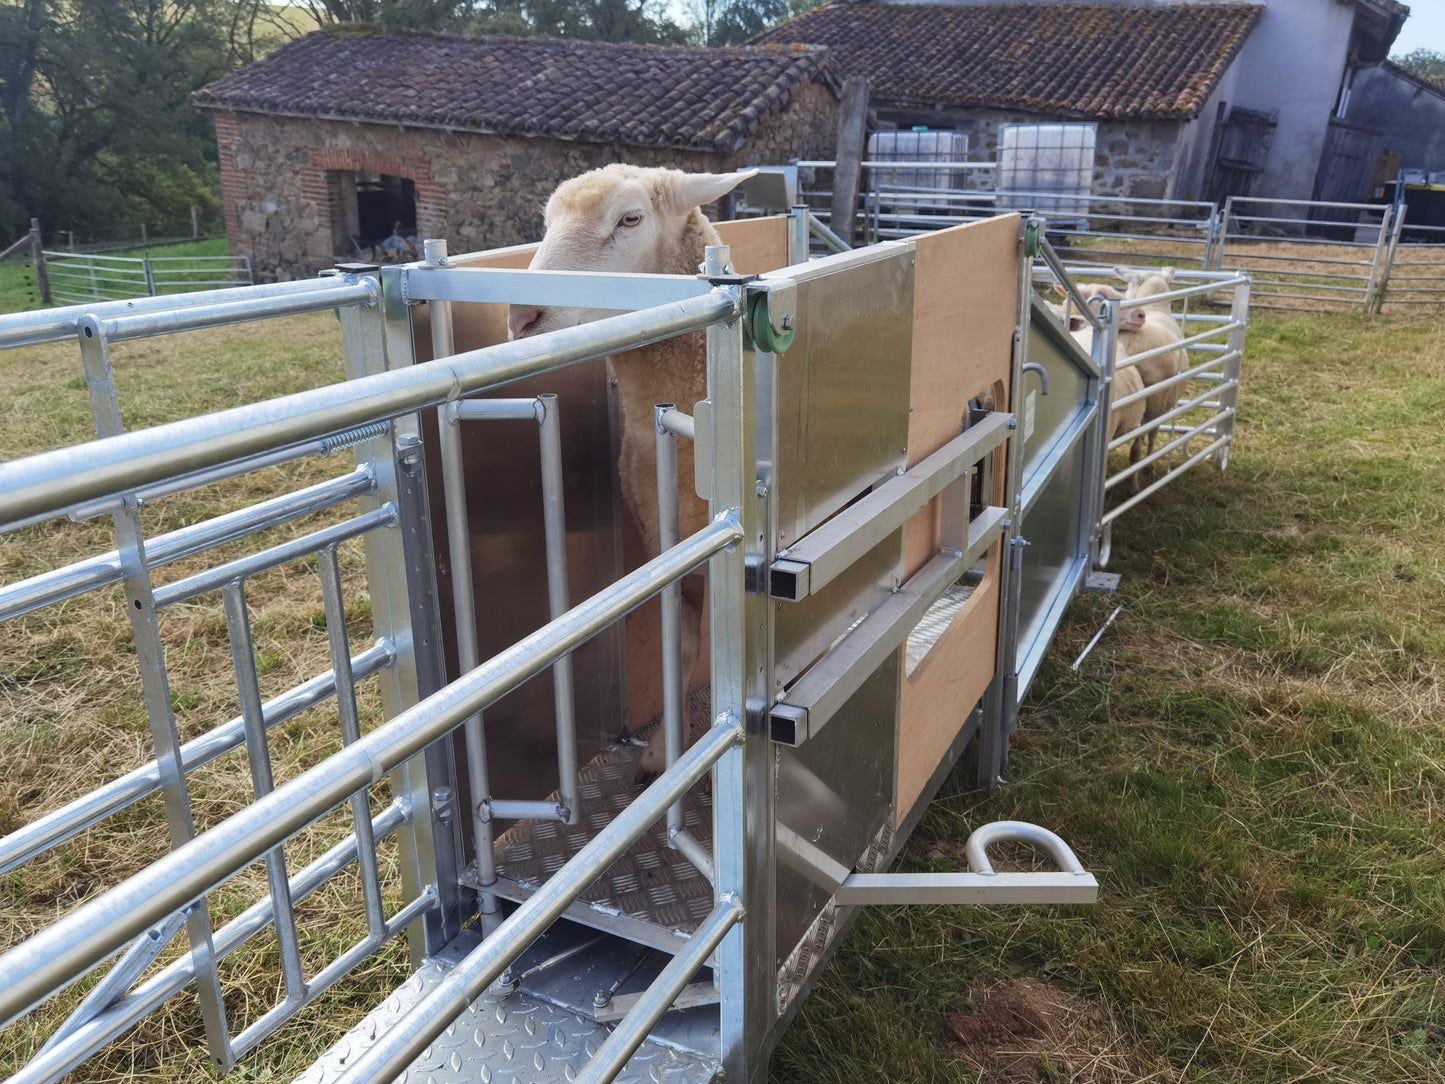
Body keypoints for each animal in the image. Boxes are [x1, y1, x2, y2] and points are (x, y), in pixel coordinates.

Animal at [508, 165, 757, 786]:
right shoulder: (665, 544)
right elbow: (682, 644)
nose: (522, 318)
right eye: (545, 223)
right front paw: (665, 751)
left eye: (629, 218)